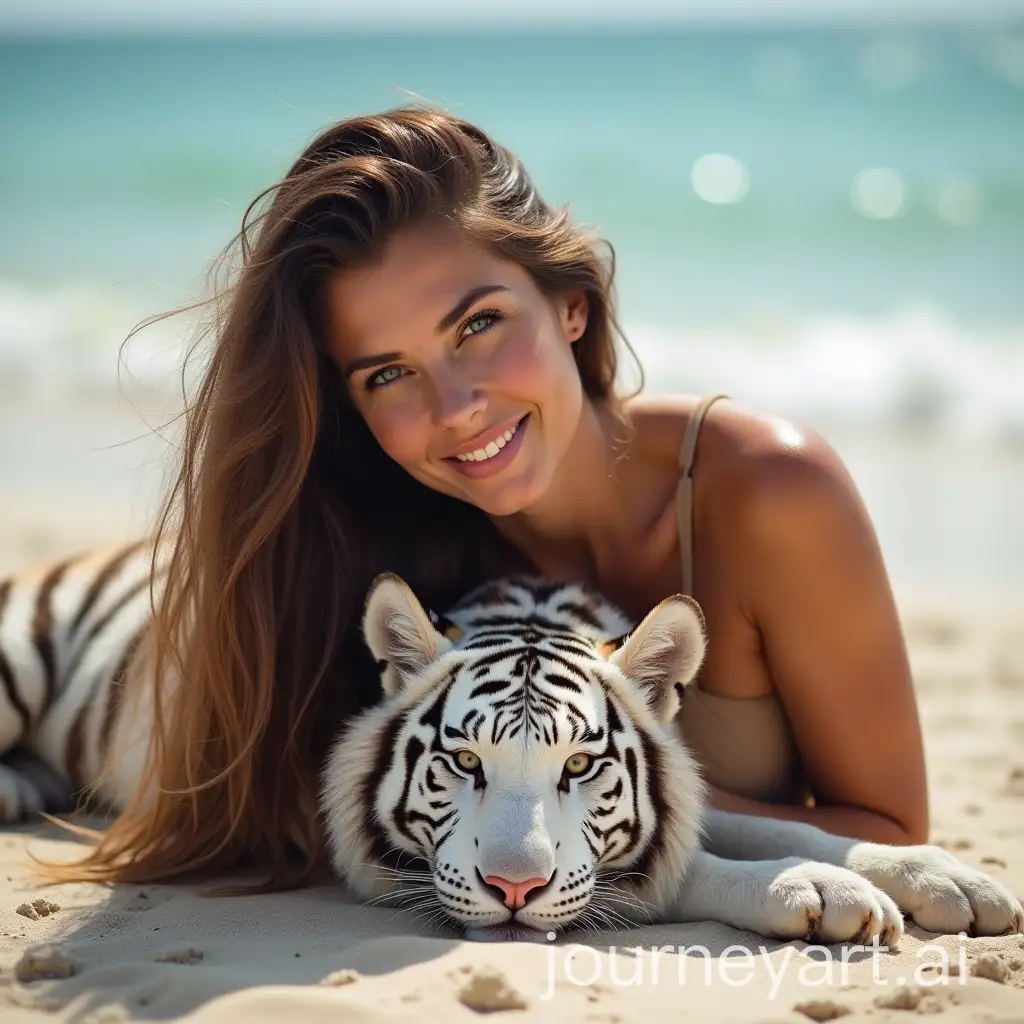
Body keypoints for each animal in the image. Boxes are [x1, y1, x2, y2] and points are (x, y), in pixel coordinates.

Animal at [2, 544, 1024, 942]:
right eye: (463, 763)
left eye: (579, 764)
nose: (513, 893)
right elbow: (680, 865)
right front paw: (819, 894)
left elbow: (781, 824)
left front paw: (945, 877)